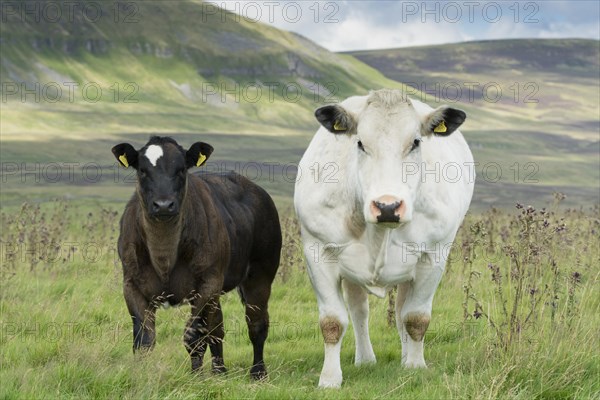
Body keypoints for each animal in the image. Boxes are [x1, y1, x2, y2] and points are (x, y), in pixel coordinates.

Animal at [112, 137, 282, 378]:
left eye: (181, 169)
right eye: (142, 170)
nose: (163, 204)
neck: (164, 258)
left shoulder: (207, 284)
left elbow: (193, 335)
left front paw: (196, 376)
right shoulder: (131, 284)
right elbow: (144, 339)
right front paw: (142, 375)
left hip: (260, 273)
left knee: (256, 324)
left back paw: (258, 372)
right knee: (217, 328)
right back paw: (220, 370)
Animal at [294, 90, 474, 388]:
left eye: (415, 142)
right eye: (360, 143)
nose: (387, 206)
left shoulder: (434, 255)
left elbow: (415, 317)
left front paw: (415, 366)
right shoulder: (318, 251)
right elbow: (332, 321)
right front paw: (329, 378)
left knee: (401, 311)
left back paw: (405, 356)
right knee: (359, 311)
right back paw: (366, 359)